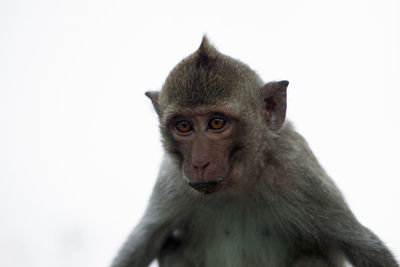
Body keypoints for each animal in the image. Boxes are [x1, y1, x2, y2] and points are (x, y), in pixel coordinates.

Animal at [111, 36, 398, 267]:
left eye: (217, 123)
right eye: (184, 126)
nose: (200, 163)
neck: (239, 183)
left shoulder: (299, 175)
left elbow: (366, 248)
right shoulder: (172, 181)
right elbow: (140, 246)